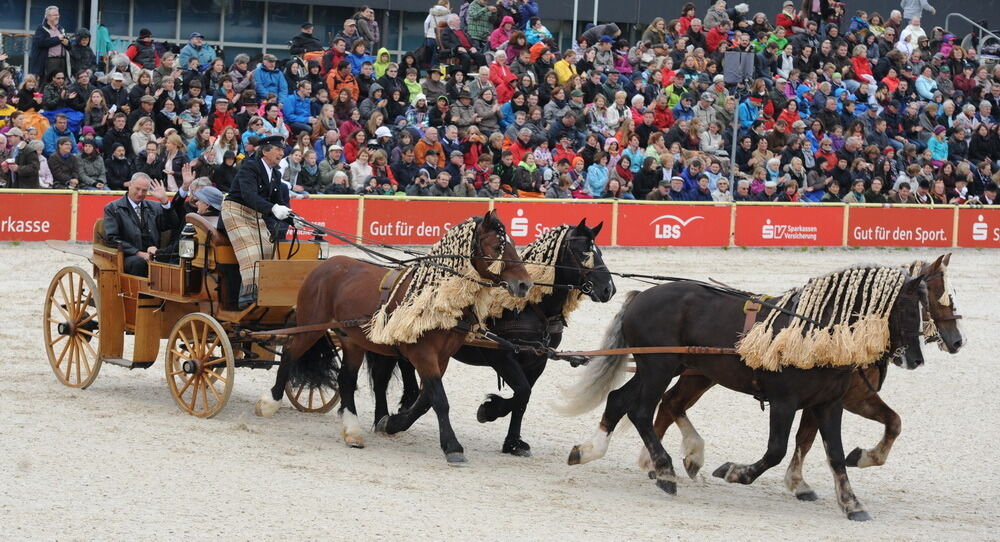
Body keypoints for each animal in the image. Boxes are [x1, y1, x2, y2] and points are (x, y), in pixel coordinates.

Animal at [262, 210, 536, 466]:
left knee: (346, 380)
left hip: (351, 339)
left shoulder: (442, 357)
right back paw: (270, 401)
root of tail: (325, 266)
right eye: (499, 247)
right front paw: (452, 446)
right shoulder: (422, 354)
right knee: (290, 353)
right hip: (310, 327)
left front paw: (392, 423)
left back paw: (352, 431)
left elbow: (425, 400)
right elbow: (439, 399)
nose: (525, 284)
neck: (436, 296)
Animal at [370, 221, 616, 454]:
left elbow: (522, 399)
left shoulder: (538, 360)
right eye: (583, 252)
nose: (609, 289)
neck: (530, 306)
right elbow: (522, 392)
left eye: (600, 252)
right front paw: (489, 410)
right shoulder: (500, 356)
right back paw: (384, 417)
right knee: (382, 378)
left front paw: (513, 442)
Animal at [564, 268, 928, 524]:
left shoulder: (829, 404)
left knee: (620, 399)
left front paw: (852, 504)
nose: (916, 359)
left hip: (662, 367)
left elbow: (836, 456)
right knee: (640, 410)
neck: (814, 332)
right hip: (659, 367)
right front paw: (736, 472)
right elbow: (776, 451)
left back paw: (590, 450)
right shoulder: (784, 402)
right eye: (910, 309)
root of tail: (643, 294)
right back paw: (665, 470)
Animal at [644, 255, 964, 502]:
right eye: (938, 298)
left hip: (700, 374)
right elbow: (806, 439)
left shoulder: (830, 399)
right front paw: (800, 481)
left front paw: (830, 470)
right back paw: (658, 462)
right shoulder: (846, 397)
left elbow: (884, 425)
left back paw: (668, 459)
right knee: (664, 403)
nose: (957, 341)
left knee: (670, 403)